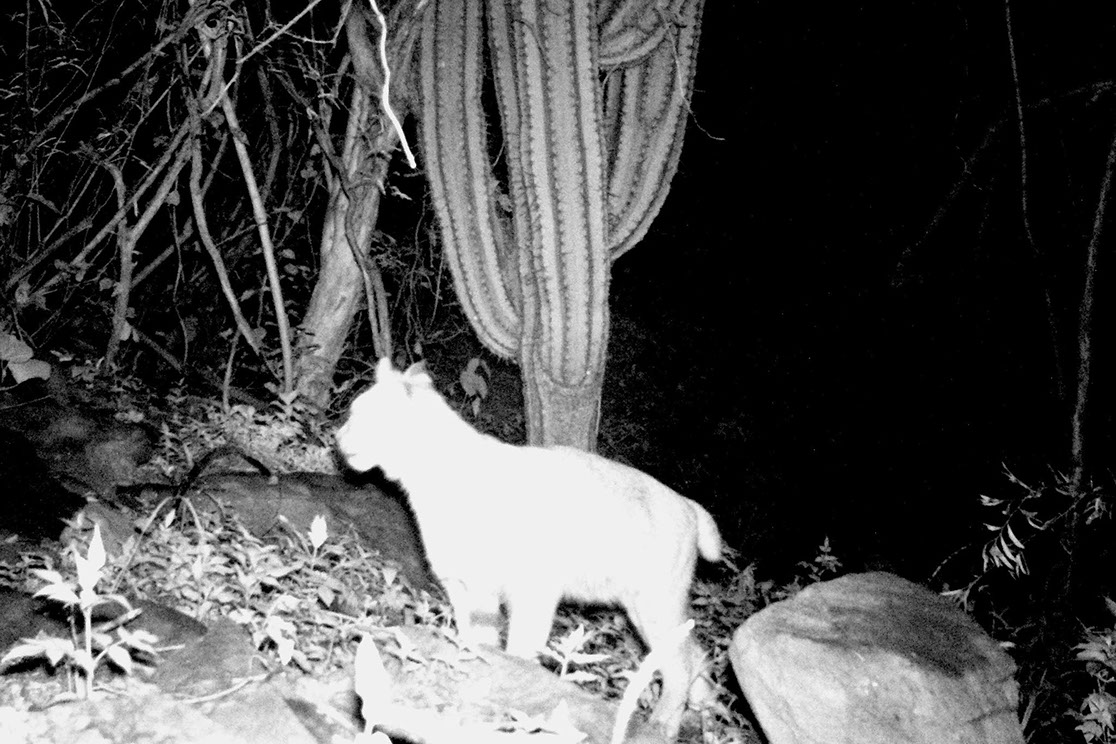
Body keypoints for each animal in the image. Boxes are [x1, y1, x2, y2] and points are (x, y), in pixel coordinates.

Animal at [336, 358, 723, 740]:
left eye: (362, 415)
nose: (338, 437)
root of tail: (689, 505)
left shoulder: (528, 590)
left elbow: (518, 648)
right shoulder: (462, 585)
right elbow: (475, 642)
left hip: (654, 603)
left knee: (680, 664)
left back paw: (664, 726)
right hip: (648, 608)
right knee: (697, 651)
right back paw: (703, 712)